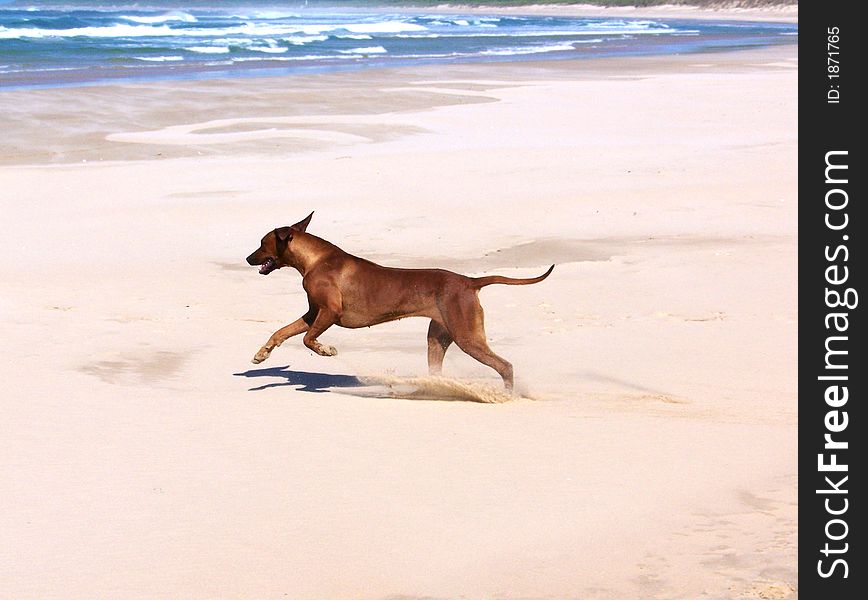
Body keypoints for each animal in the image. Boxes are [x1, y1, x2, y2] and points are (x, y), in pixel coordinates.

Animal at [244, 213, 556, 392]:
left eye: (261, 243)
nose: (247, 258)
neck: (314, 259)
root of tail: (469, 281)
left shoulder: (330, 312)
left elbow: (308, 339)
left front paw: (325, 350)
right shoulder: (314, 312)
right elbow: (281, 332)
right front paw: (263, 353)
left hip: (467, 336)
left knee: (505, 366)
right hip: (438, 336)